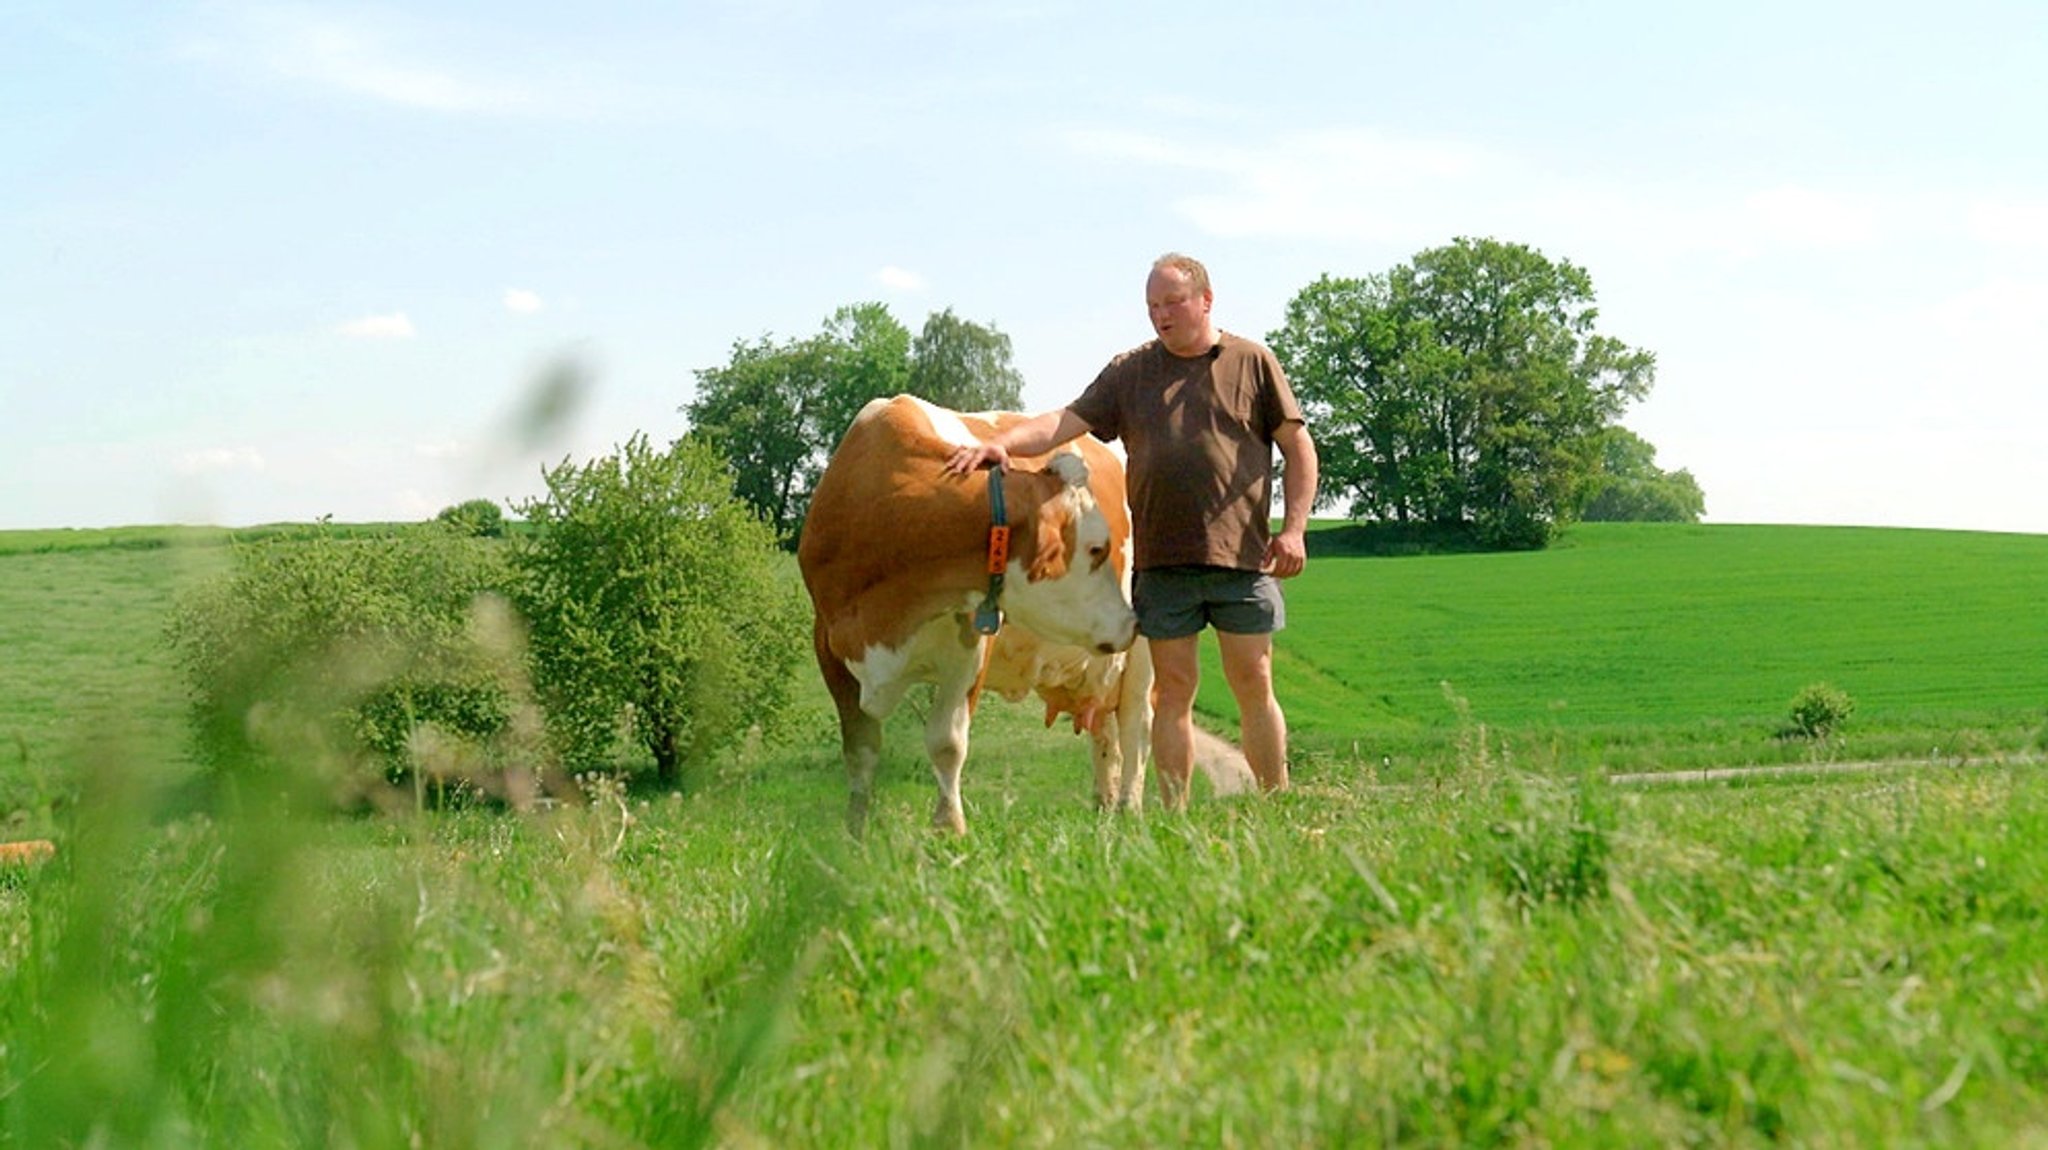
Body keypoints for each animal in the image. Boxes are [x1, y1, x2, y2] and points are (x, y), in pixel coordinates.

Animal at [798, 392, 1146, 830]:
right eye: (1098, 549)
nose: (1130, 620)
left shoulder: (972, 644)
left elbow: (946, 742)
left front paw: (949, 829)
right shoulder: (828, 643)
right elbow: (860, 752)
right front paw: (855, 831)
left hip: (1142, 659)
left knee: (1137, 728)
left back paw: (1130, 811)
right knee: (1105, 733)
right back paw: (1104, 809)